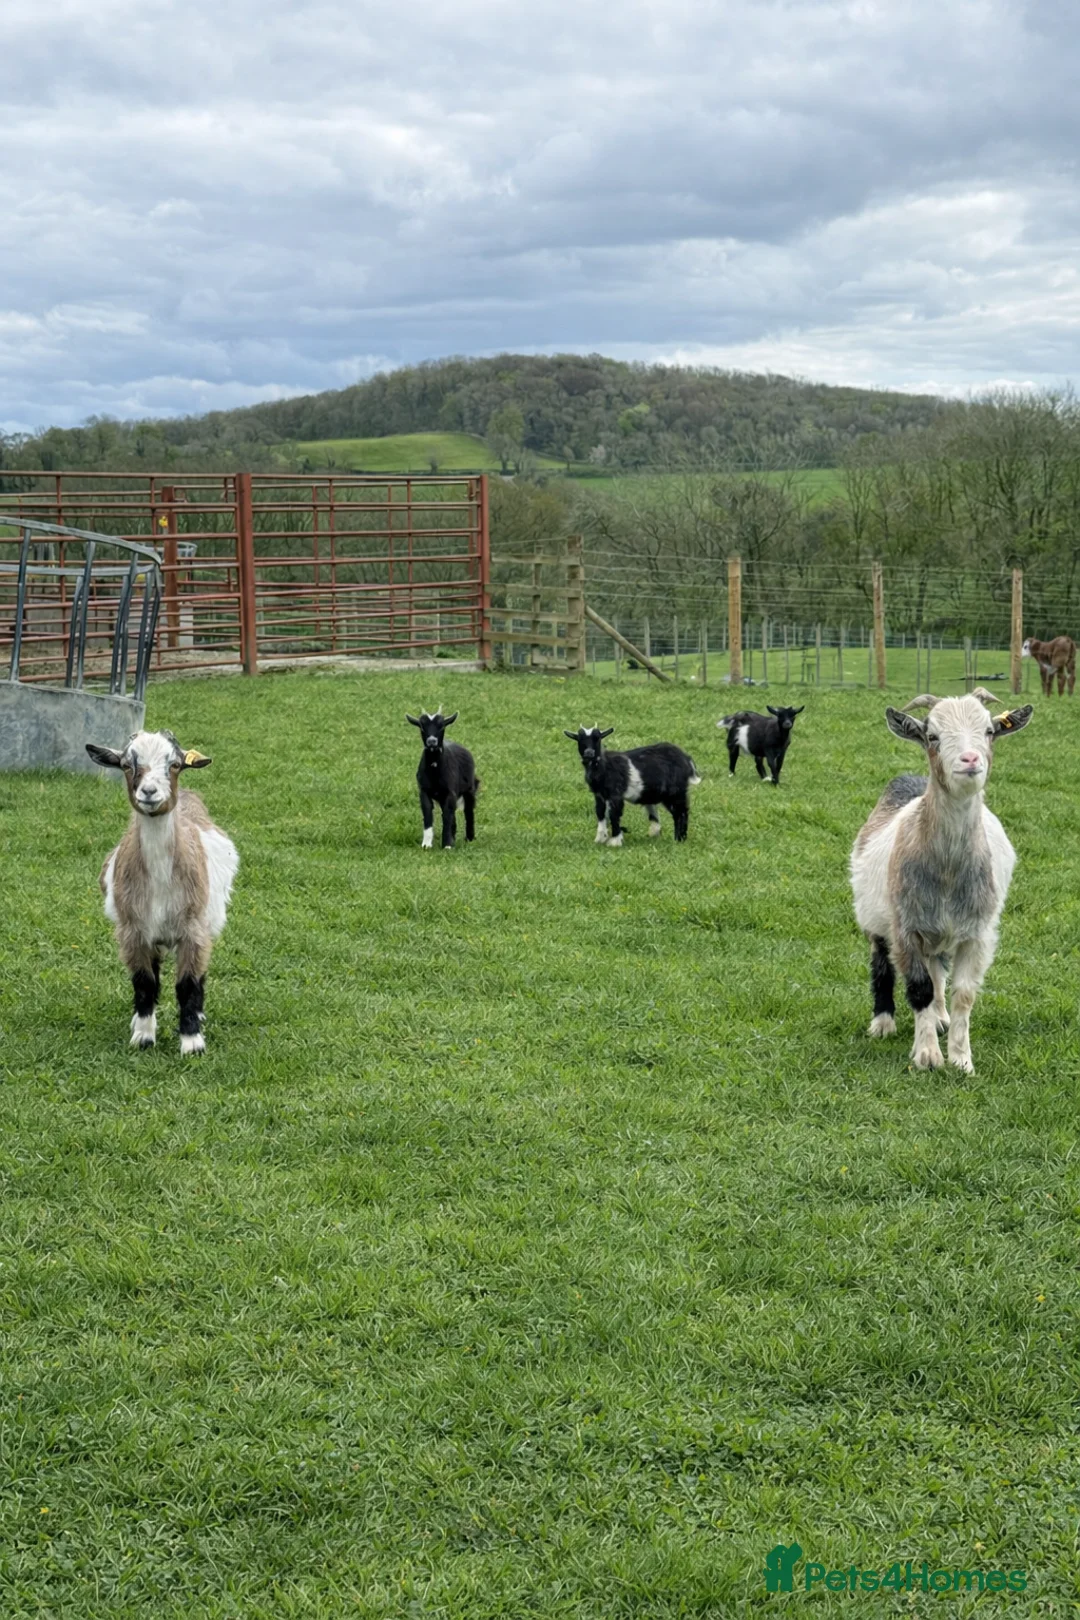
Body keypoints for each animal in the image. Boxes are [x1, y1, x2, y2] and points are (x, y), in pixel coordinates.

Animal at [86, 730, 239, 1055]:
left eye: (176, 764)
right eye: (126, 765)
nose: (149, 792)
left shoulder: (193, 930)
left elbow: (188, 984)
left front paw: (192, 1042)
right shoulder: (133, 931)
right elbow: (144, 982)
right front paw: (144, 1036)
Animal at [407, 710, 479, 848]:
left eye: (442, 726)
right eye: (422, 727)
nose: (432, 741)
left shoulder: (450, 791)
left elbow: (447, 816)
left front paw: (447, 845)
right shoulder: (424, 791)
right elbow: (428, 813)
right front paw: (426, 845)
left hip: (469, 789)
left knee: (469, 812)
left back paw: (470, 838)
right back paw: (454, 837)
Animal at [564, 725, 700, 844]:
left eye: (597, 739)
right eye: (580, 740)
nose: (589, 753)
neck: (604, 765)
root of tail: (687, 759)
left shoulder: (615, 794)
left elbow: (614, 814)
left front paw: (615, 841)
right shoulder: (599, 795)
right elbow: (600, 813)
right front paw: (600, 839)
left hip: (675, 791)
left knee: (681, 812)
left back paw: (679, 839)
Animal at [849, 696, 1032, 1073]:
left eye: (989, 731)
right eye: (932, 735)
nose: (970, 759)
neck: (948, 872)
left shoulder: (977, 932)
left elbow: (963, 993)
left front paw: (961, 1060)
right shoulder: (906, 927)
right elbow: (918, 988)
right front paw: (928, 1057)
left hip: (939, 931)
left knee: (938, 972)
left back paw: (940, 1017)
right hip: (875, 915)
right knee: (882, 962)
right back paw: (883, 1022)